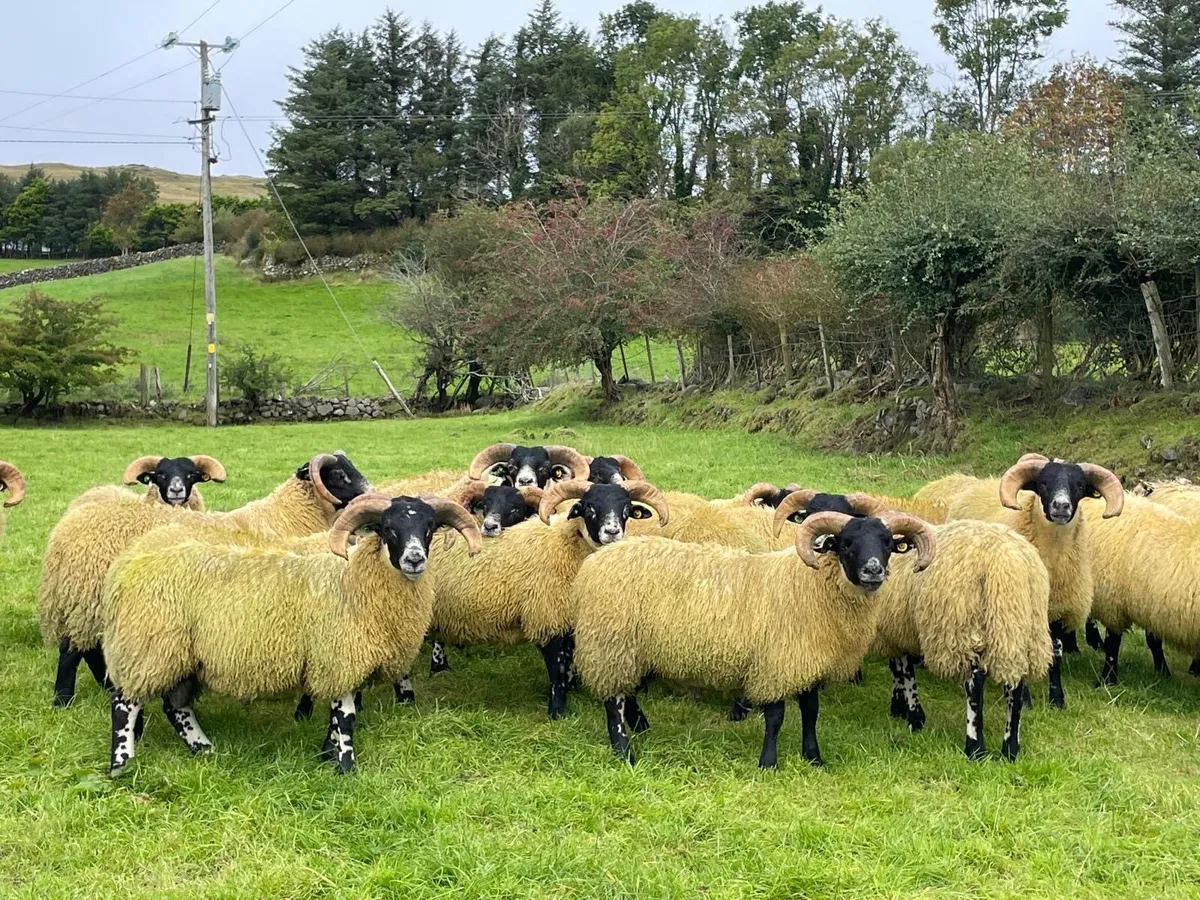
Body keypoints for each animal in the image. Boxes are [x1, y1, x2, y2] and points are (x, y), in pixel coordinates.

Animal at [38, 451, 371, 707]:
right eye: (339, 474)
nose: (373, 494)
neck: (288, 516)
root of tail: (65, 530)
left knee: (88, 648)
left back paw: (103, 686)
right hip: (87, 596)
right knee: (71, 650)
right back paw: (63, 701)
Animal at [102, 493, 482, 775]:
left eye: (430, 527)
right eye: (388, 528)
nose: (415, 559)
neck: (354, 581)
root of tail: (126, 568)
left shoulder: (348, 660)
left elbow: (339, 716)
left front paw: (326, 754)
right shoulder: (337, 657)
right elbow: (346, 718)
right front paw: (345, 767)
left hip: (181, 654)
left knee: (176, 706)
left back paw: (204, 749)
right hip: (147, 647)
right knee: (125, 704)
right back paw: (121, 763)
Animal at [424, 478, 669, 719]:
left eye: (626, 508)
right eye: (589, 507)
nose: (612, 531)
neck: (569, 546)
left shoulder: (568, 619)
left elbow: (569, 661)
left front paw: (573, 688)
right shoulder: (546, 617)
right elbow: (556, 669)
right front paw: (557, 710)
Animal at [570, 507, 935, 768]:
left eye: (889, 544)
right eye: (845, 543)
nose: (873, 570)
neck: (811, 586)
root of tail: (595, 562)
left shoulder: (807, 663)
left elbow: (811, 712)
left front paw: (813, 758)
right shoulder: (773, 664)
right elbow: (775, 718)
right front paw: (768, 763)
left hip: (630, 647)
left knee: (627, 691)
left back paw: (640, 726)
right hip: (610, 642)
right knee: (612, 701)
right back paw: (624, 752)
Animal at [924, 454, 1123, 708]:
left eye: (1079, 486)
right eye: (1043, 484)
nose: (1061, 506)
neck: (1052, 562)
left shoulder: (1058, 611)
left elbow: (1056, 654)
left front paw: (1057, 699)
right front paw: (1025, 700)